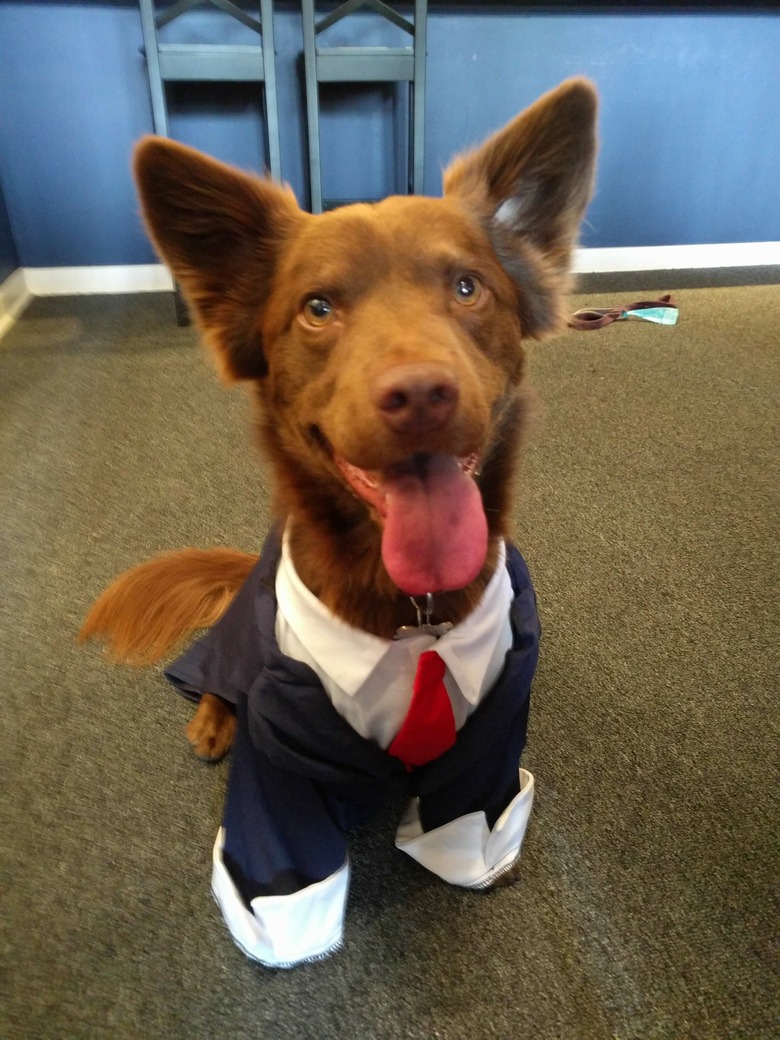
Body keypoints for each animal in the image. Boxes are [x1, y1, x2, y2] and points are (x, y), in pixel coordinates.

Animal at [81, 79, 599, 965]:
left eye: (468, 288)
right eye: (318, 308)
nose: (421, 392)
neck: (412, 616)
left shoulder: (493, 733)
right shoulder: (280, 762)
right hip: (239, 641)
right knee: (216, 672)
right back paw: (212, 720)